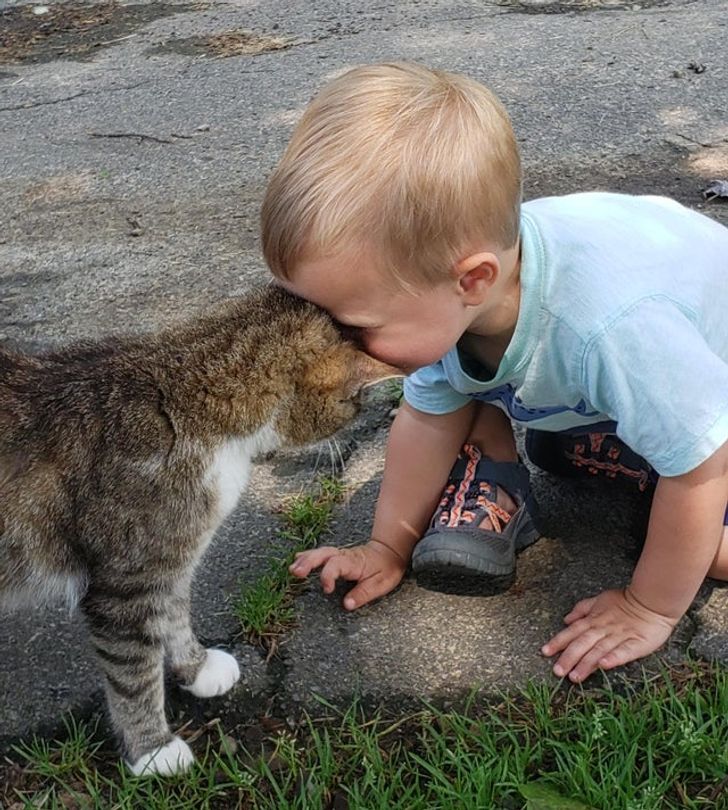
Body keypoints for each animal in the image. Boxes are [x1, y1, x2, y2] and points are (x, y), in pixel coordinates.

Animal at [0, 288, 392, 772]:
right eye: (353, 402)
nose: (351, 428)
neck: (189, 398)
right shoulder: (123, 585)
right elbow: (133, 672)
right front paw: (152, 749)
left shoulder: (171, 555)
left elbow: (174, 611)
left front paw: (197, 667)